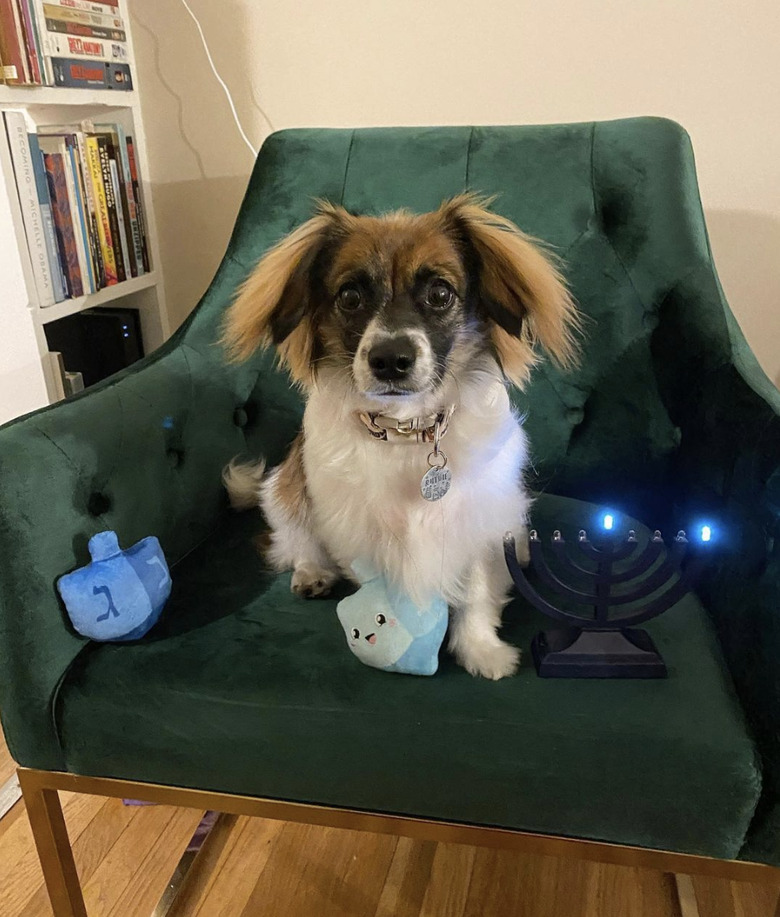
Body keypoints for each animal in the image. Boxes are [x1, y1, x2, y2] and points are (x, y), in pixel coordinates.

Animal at [219, 195, 580, 680]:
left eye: (440, 293)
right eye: (350, 296)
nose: (390, 359)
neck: (409, 432)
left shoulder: (477, 518)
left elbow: (477, 590)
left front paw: (480, 649)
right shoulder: (359, 528)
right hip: (285, 488)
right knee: (293, 540)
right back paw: (312, 571)